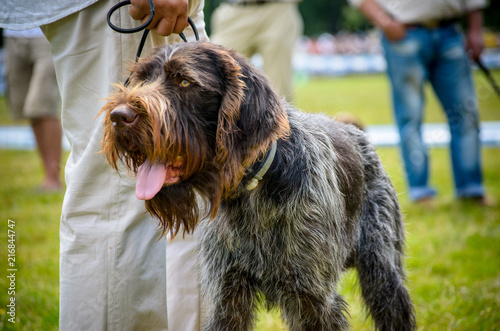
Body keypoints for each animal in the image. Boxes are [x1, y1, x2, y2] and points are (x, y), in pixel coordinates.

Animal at [99, 42, 416, 331]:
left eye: (184, 81)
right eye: (141, 79)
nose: (119, 117)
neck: (252, 191)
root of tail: (355, 132)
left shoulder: (314, 299)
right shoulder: (228, 296)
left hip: (382, 270)